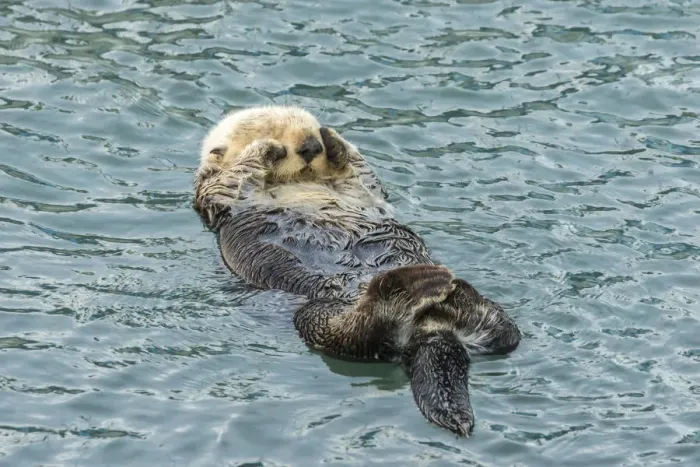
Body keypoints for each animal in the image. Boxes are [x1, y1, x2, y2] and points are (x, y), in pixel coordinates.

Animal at [193, 105, 521, 437]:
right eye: (273, 130)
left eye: (310, 129)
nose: (311, 145)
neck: (293, 183)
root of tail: (430, 329)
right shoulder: (216, 193)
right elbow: (234, 175)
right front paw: (266, 149)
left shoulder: (356, 185)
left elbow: (361, 171)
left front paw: (332, 138)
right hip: (318, 314)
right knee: (355, 333)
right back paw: (408, 285)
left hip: (483, 322)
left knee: (505, 332)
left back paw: (456, 290)